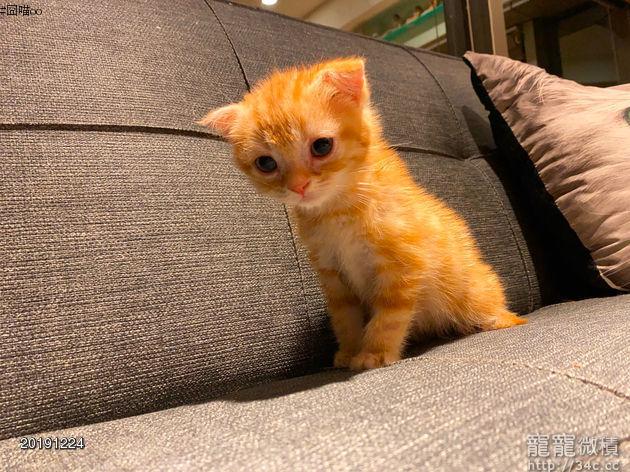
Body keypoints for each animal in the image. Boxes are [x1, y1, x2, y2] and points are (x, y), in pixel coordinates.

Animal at [198, 57, 526, 370]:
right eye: (266, 163)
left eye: (321, 146)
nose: (299, 186)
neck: (337, 212)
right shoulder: (333, 275)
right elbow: (345, 318)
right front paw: (350, 351)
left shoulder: (404, 264)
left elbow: (390, 316)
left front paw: (375, 353)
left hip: (472, 288)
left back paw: (501, 319)